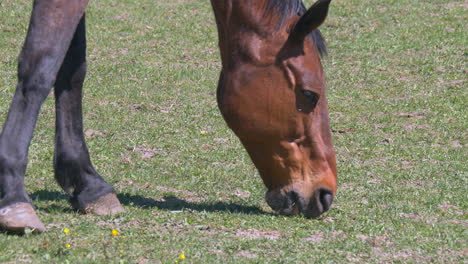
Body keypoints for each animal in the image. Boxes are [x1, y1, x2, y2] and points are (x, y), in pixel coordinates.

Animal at [0, 0, 336, 233]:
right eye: (310, 95)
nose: (325, 193)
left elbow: (72, 68)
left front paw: (87, 183)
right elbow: (41, 63)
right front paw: (14, 194)